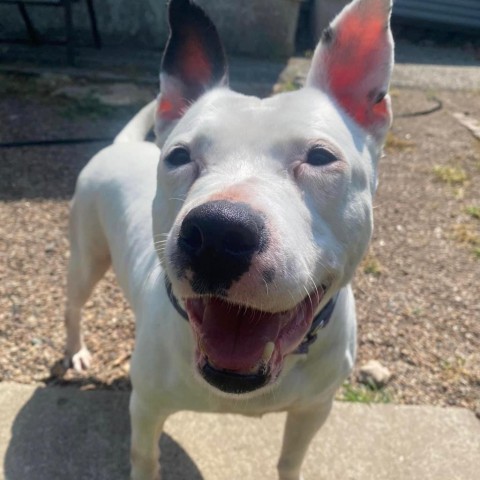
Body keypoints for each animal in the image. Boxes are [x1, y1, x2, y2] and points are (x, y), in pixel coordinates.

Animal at [63, 1, 394, 478]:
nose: (218, 233)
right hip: (87, 255)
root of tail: (120, 145)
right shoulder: (146, 407)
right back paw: (75, 351)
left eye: (320, 157)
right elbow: (145, 456)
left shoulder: (314, 409)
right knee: (73, 305)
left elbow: (291, 459)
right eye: (179, 156)